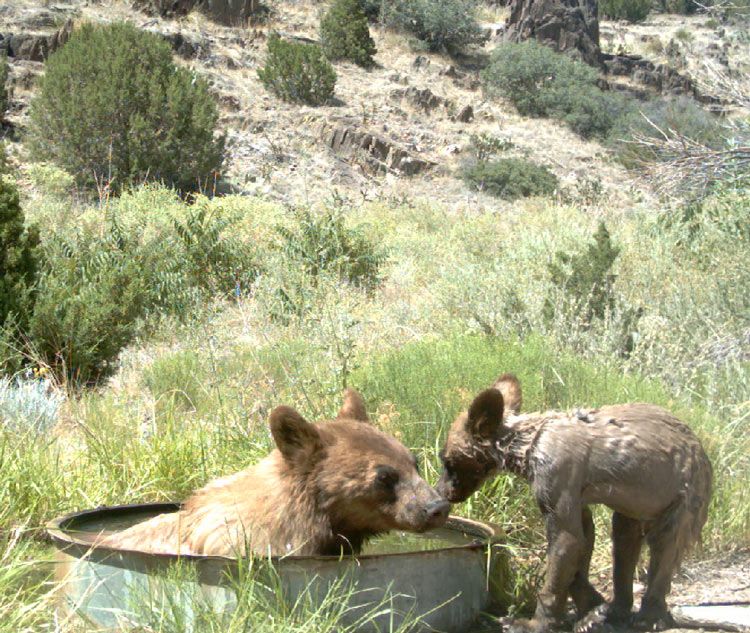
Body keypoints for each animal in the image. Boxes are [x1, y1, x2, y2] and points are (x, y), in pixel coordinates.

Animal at [436, 374, 712, 633]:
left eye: (447, 460)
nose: (440, 494)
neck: (528, 449)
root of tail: (701, 449)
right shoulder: (572, 499)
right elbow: (578, 552)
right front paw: (592, 611)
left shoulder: (558, 480)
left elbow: (563, 553)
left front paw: (531, 623)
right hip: (631, 508)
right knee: (624, 547)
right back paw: (617, 609)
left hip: (683, 497)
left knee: (665, 548)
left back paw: (650, 616)